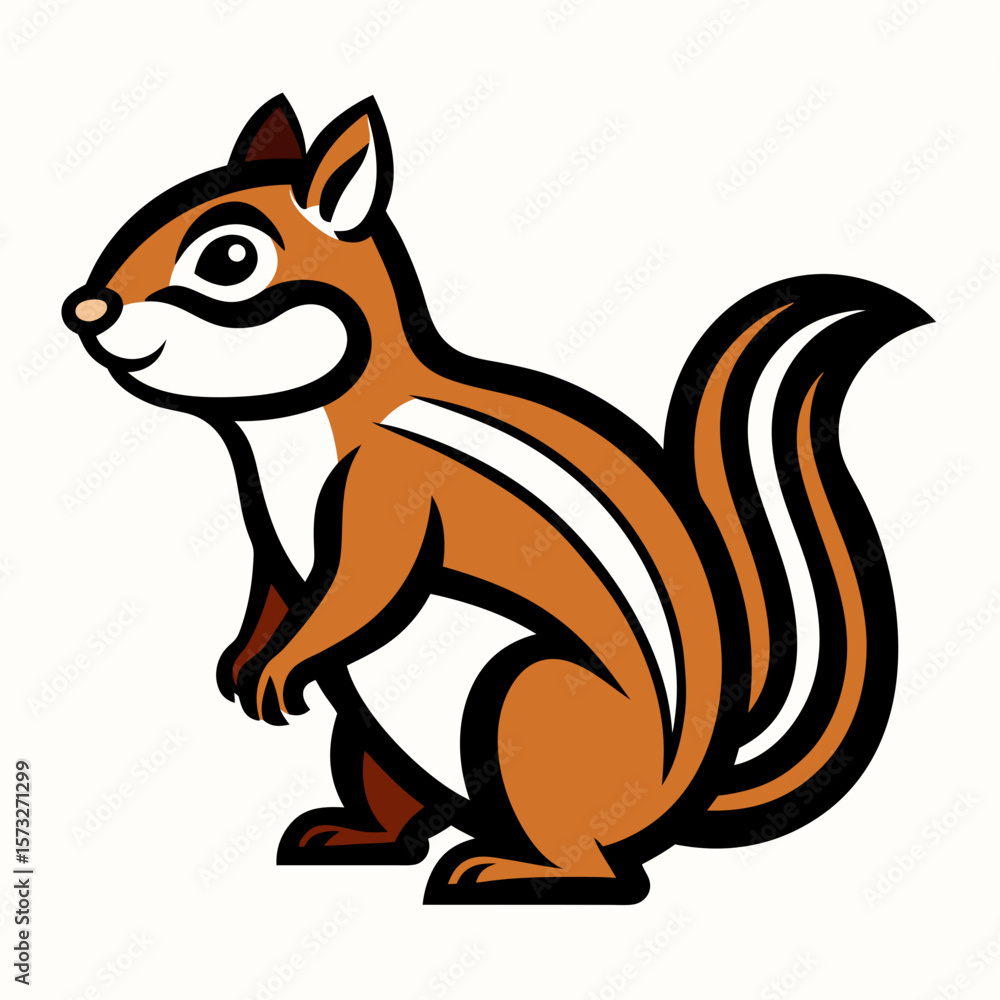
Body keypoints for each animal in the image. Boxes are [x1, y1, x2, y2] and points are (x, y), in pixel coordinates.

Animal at [62, 95, 932, 904]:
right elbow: (276, 593)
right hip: (368, 739)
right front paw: (243, 660)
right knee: (410, 812)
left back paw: (507, 870)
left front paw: (278, 666)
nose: (84, 309)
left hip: (523, 699)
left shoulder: (390, 490)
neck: (310, 415)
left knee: (602, 869)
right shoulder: (270, 542)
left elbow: (358, 589)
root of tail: (674, 800)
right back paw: (354, 836)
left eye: (230, 256)